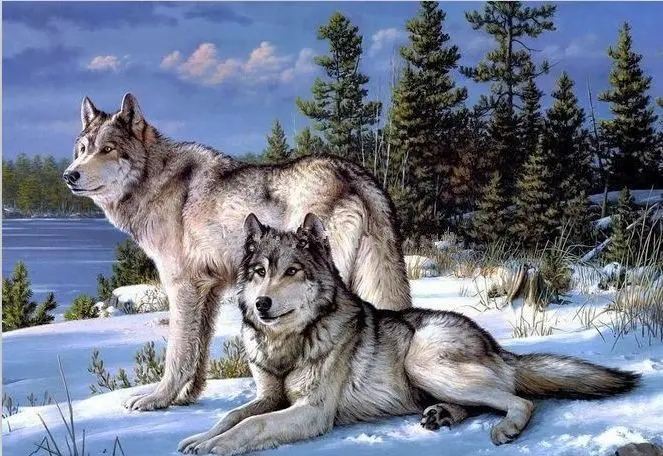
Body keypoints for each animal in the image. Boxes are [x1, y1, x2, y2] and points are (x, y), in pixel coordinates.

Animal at [63, 93, 411, 412]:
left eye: (108, 149)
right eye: (82, 149)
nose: (69, 175)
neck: (155, 180)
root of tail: (354, 173)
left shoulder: (181, 287)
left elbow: (178, 352)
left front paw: (157, 399)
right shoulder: (208, 290)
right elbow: (198, 351)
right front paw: (186, 397)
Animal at [178, 213, 640, 455]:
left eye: (292, 271)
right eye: (260, 272)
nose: (262, 304)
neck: (288, 343)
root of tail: (495, 345)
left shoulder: (311, 411)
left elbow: (251, 426)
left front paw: (213, 446)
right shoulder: (268, 397)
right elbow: (230, 417)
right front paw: (199, 437)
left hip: (422, 362)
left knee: (520, 401)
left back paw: (504, 429)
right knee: (483, 402)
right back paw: (442, 415)